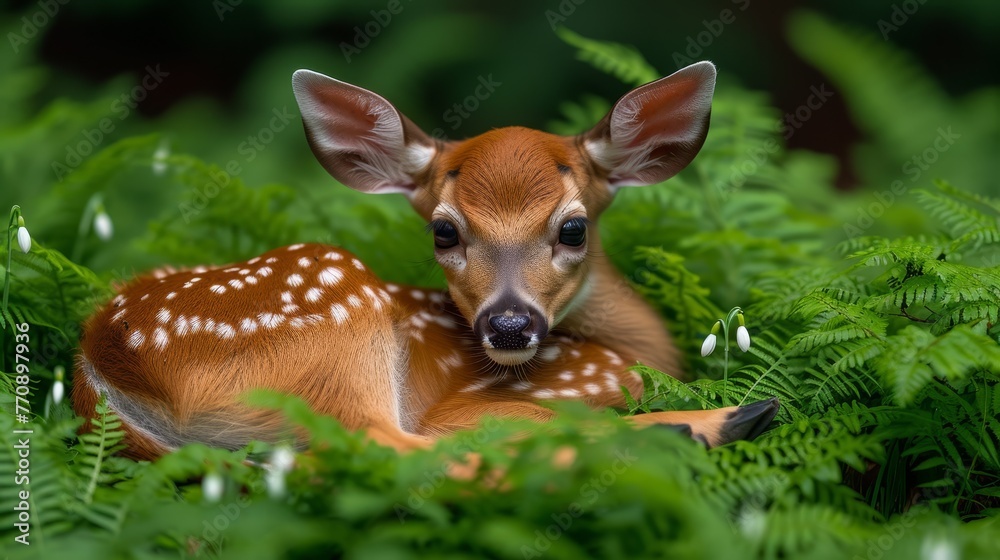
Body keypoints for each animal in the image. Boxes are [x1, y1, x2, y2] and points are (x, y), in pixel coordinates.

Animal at [72, 61, 779, 461]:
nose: (509, 327)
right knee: (392, 450)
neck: (632, 353)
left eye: (573, 228)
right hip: (336, 326)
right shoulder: (525, 394)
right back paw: (708, 426)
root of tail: (104, 361)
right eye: (444, 232)